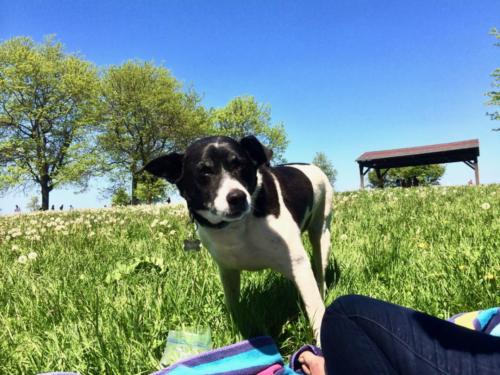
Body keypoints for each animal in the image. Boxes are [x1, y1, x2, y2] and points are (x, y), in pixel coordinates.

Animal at [144, 136, 332, 340]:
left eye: (240, 165)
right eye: (204, 171)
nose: (237, 197)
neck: (235, 225)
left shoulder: (298, 265)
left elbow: (316, 311)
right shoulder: (227, 270)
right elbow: (234, 304)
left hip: (321, 232)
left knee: (320, 270)